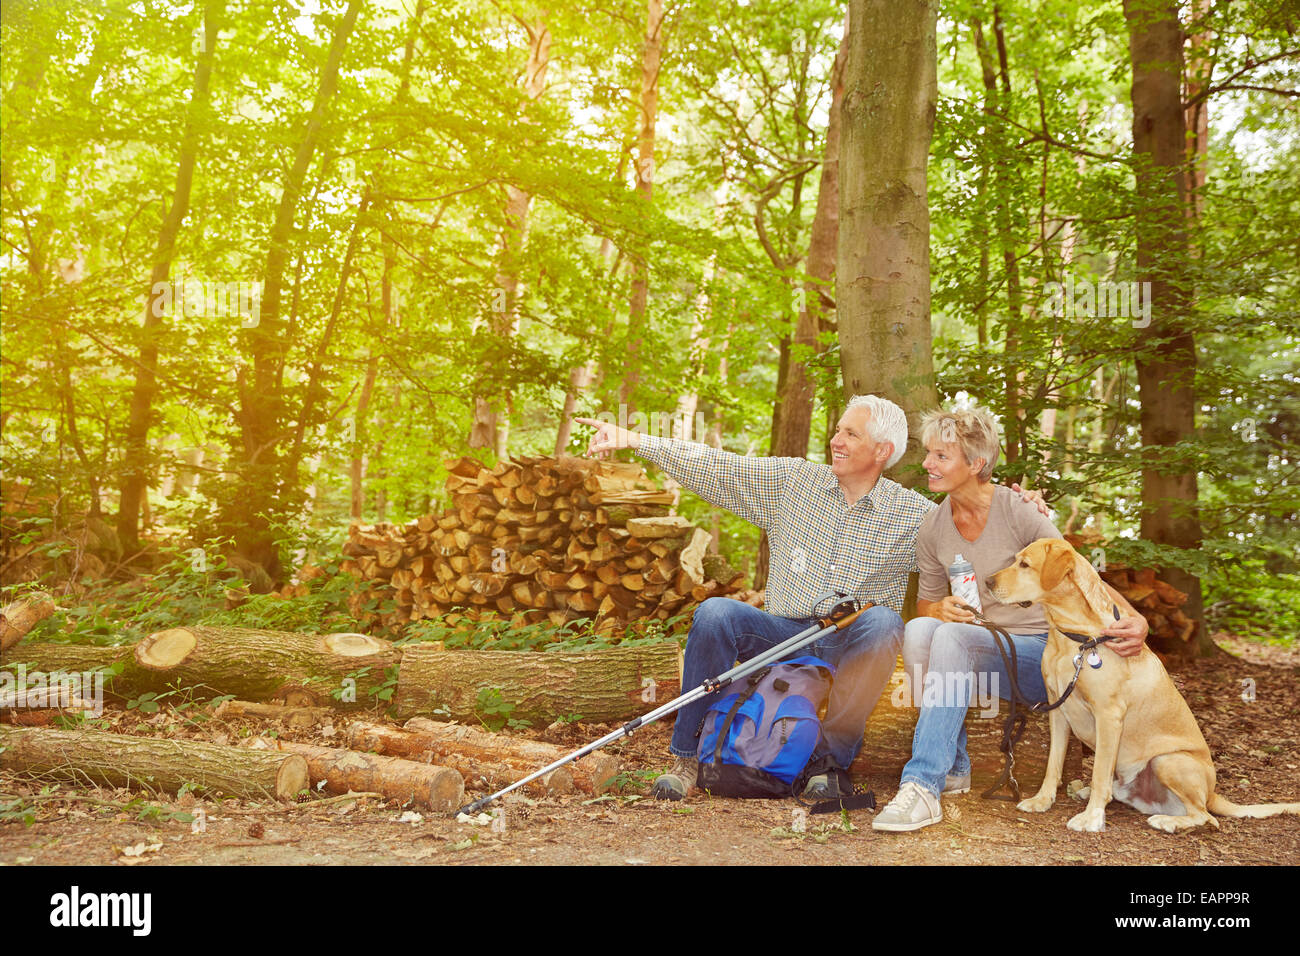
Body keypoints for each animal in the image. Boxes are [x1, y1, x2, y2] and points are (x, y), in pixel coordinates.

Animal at [987, 541, 1294, 832]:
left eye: (1025, 564)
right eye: (1015, 560)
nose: (988, 581)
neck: (1074, 636)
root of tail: (1213, 793)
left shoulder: (1108, 715)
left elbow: (1099, 773)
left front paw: (1091, 818)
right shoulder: (1058, 710)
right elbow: (1053, 764)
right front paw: (1042, 800)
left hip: (1168, 761)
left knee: (1206, 818)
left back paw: (1169, 823)